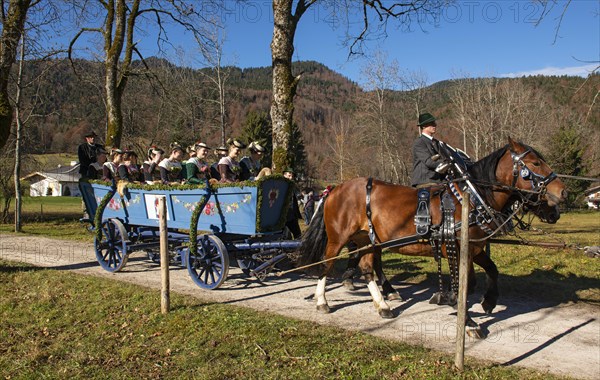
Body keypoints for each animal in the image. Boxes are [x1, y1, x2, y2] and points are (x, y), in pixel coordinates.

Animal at [300, 138, 568, 328]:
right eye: (535, 163)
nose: (563, 192)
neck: (471, 197)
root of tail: (335, 188)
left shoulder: (474, 247)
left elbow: (490, 270)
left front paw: (488, 301)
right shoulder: (458, 249)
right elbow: (465, 284)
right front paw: (467, 320)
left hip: (368, 240)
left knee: (367, 269)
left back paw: (383, 305)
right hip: (338, 238)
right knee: (326, 264)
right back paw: (323, 301)